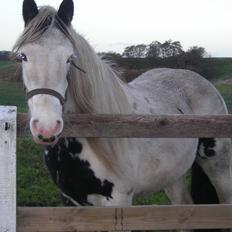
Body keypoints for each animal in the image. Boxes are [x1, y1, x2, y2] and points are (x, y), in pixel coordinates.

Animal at [14, 0, 232, 212]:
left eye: (70, 58)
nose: (46, 127)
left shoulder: (118, 201)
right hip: (173, 174)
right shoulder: (70, 201)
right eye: (23, 56)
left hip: (218, 167)